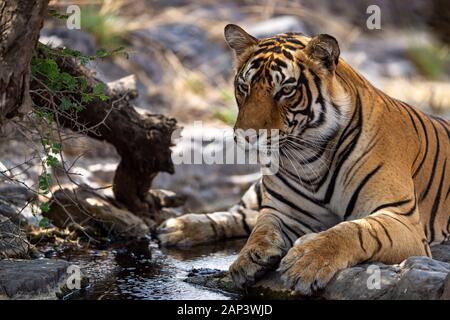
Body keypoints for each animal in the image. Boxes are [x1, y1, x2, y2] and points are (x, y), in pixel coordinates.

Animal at [157, 24, 450, 296]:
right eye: (243, 86)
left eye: (285, 90)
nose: (247, 136)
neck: (309, 157)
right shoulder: (282, 210)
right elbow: (262, 228)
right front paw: (247, 259)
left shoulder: (401, 218)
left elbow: (351, 231)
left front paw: (306, 262)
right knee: (242, 213)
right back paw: (177, 228)